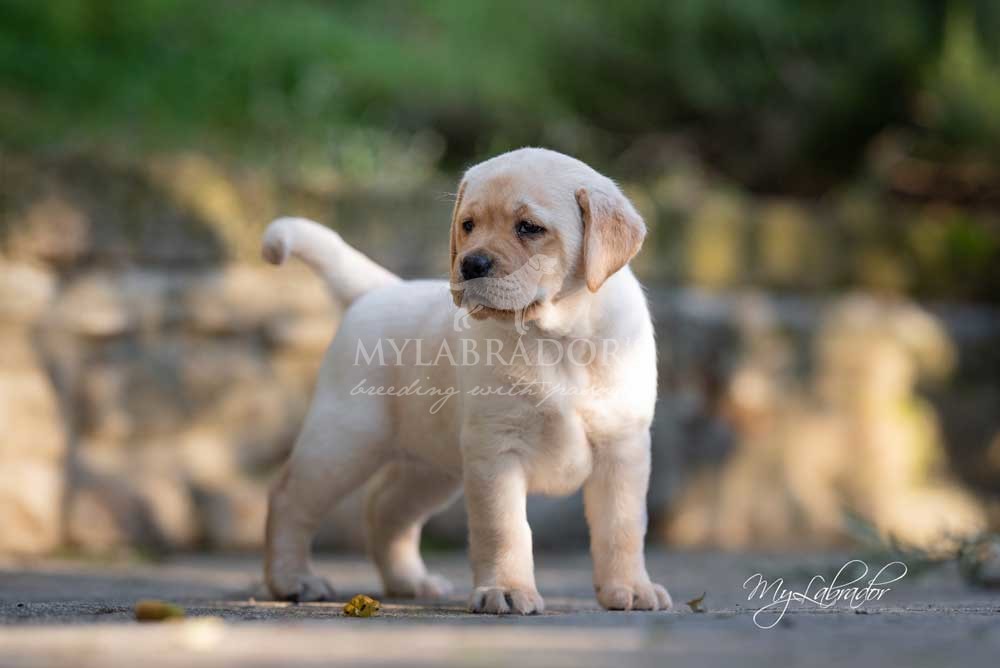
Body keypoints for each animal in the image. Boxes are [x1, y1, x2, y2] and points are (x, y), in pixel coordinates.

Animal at [266, 147, 672, 616]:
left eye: (530, 228)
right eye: (468, 225)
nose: (470, 264)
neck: (555, 339)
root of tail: (379, 291)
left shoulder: (621, 445)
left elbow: (622, 527)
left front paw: (630, 588)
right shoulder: (496, 449)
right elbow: (505, 528)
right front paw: (508, 589)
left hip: (430, 468)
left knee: (385, 509)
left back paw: (410, 582)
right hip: (344, 442)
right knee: (289, 498)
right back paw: (292, 580)